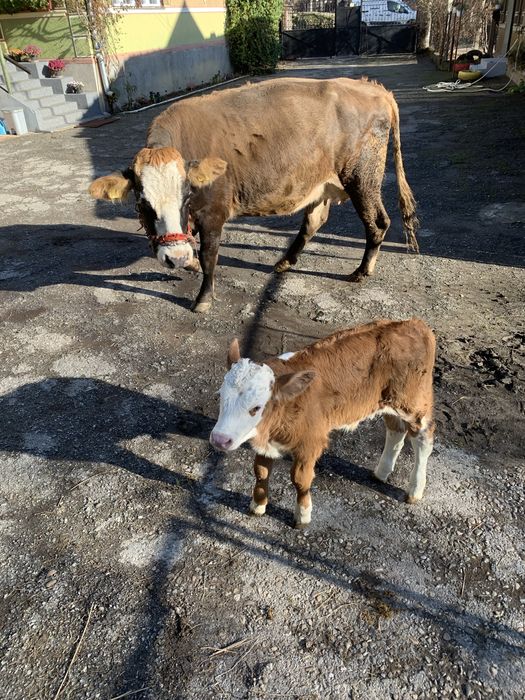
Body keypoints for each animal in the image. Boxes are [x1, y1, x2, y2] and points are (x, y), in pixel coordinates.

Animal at [88, 77, 419, 313]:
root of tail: (372, 88)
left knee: (377, 222)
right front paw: (188, 262)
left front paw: (203, 297)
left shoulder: (213, 212)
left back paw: (362, 271)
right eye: (143, 202)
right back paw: (285, 261)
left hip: (362, 177)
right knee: (314, 221)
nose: (176, 257)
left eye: (186, 197)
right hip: (321, 181)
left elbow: (209, 255)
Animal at [210, 319, 435, 528]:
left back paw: (415, 489)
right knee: (395, 430)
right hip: (388, 402)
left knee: (423, 439)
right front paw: (258, 505)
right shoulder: (267, 442)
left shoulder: (311, 442)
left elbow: (300, 480)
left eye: (256, 408)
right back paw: (381, 472)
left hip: (415, 402)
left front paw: (302, 515)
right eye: (220, 396)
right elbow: (261, 471)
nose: (220, 439)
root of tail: (415, 324)